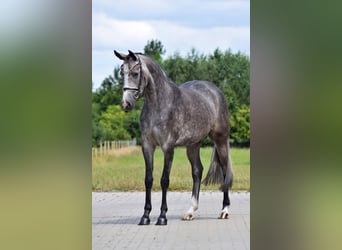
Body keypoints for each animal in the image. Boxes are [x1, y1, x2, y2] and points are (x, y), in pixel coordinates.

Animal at [113, 49, 234, 226]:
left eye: (135, 73)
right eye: (122, 73)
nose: (125, 104)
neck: (160, 104)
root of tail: (216, 92)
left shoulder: (168, 147)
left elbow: (164, 180)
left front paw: (162, 217)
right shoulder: (147, 146)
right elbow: (148, 179)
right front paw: (145, 216)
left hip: (220, 140)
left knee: (225, 171)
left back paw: (224, 210)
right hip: (193, 145)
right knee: (197, 171)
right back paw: (190, 211)